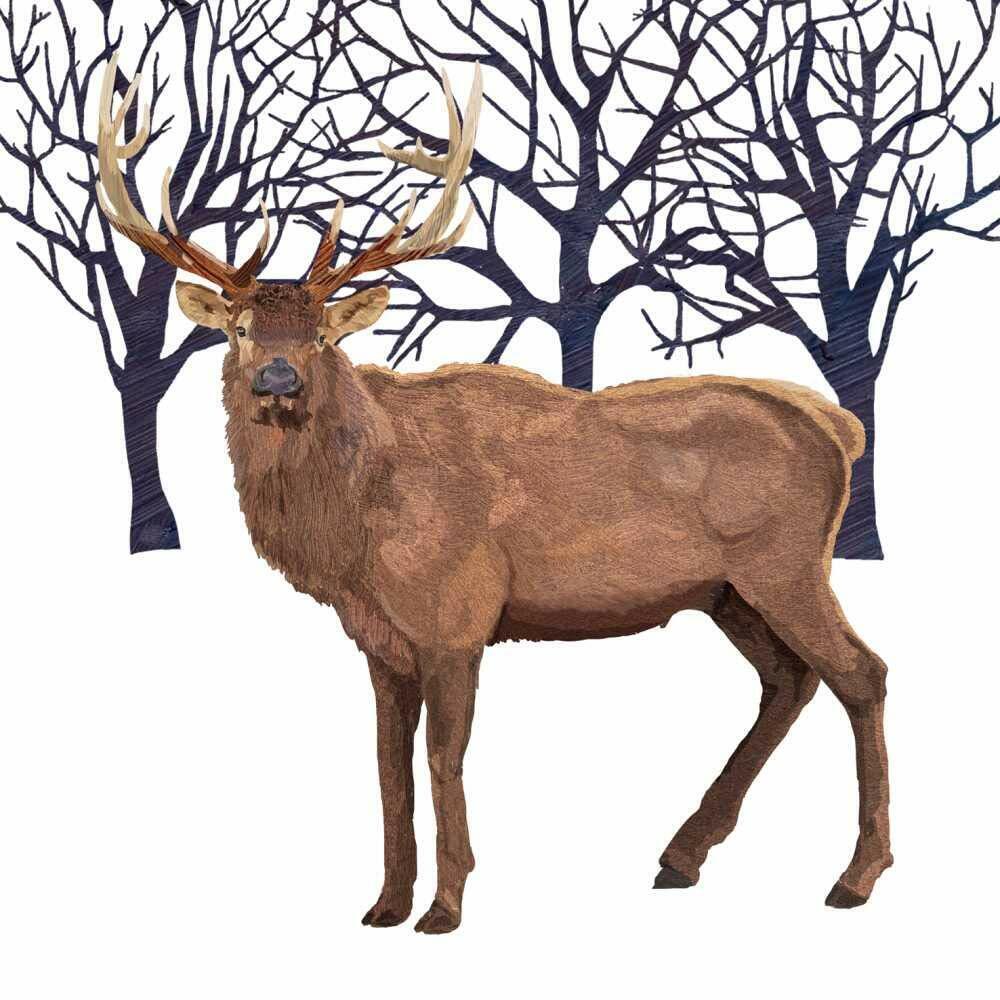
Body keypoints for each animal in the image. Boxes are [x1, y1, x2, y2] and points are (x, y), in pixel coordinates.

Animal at [95, 53, 892, 934]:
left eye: (323, 334)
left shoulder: (457, 614)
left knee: (862, 673)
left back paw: (854, 876)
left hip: (785, 562)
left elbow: (442, 758)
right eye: (237, 328)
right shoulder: (379, 639)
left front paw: (444, 906)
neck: (354, 540)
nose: (277, 377)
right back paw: (681, 856)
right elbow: (387, 766)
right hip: (726, 590)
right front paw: (384, 902)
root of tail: (838, 427)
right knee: (789, 680)